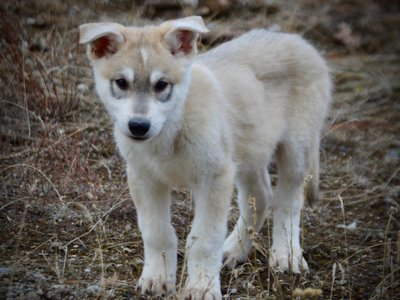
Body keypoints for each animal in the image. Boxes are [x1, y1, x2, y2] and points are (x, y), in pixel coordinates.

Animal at [79, 16, 332, 300]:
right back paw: (234, 249)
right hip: (249, 152)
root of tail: (299, 41)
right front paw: (157, 278)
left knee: (288, 201)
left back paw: (286, 255)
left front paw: (202, 287)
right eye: (121, 83)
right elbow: (157, 233)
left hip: (296, 148)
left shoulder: (214, 177)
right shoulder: (144, 178)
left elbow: (203, 239)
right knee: (261, 196)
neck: (172, 129)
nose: (138, 126)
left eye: (161, 85)